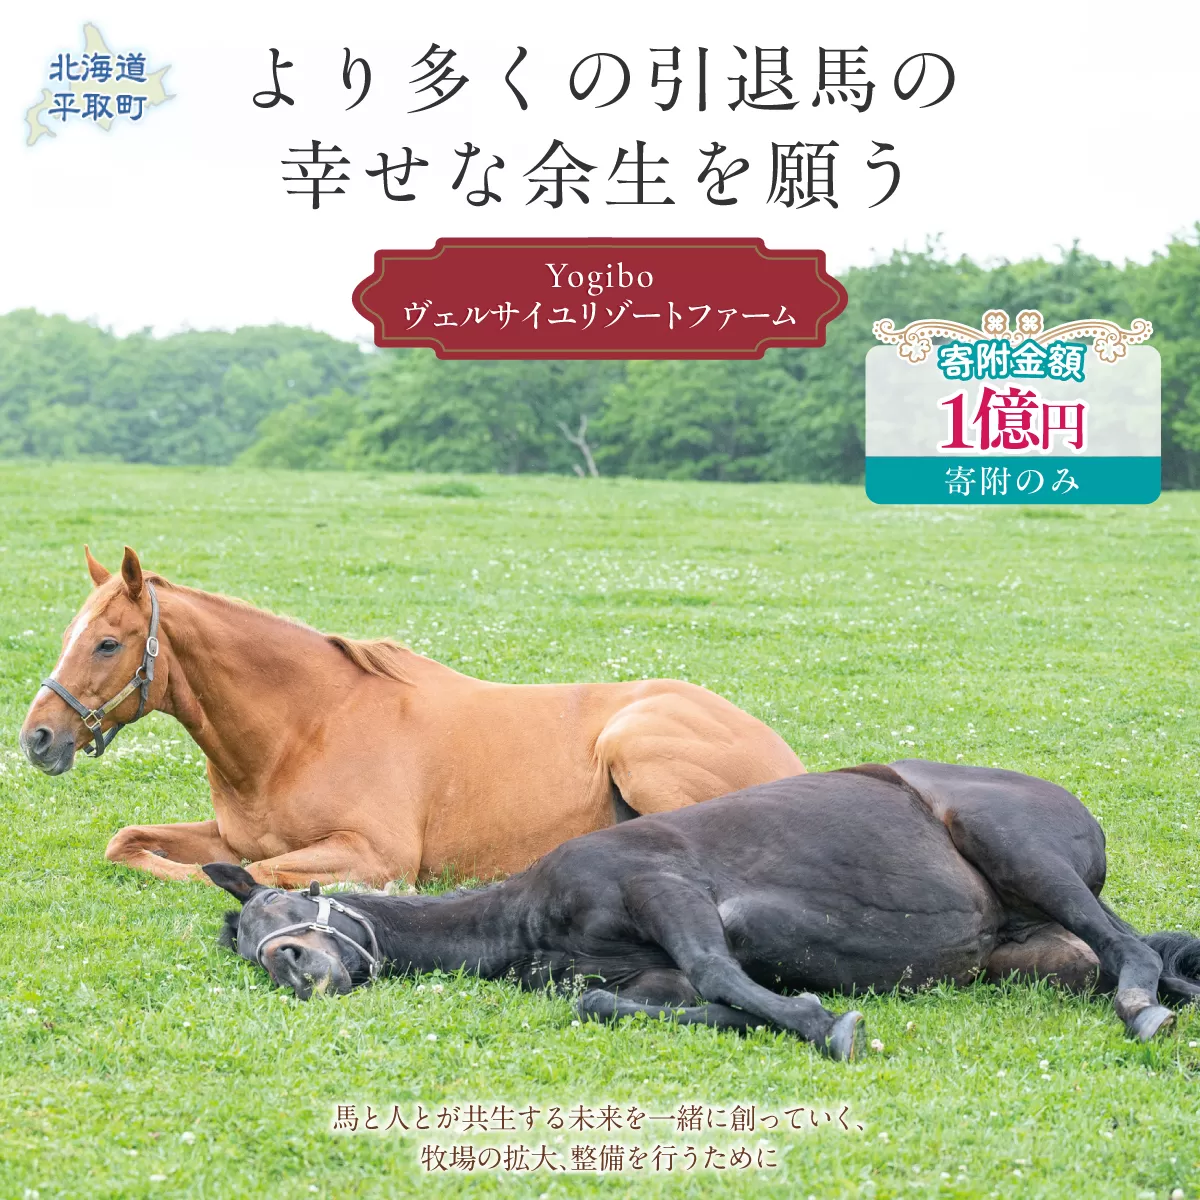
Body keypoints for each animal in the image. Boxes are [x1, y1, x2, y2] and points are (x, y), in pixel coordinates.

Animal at [19, 546, 804, 887]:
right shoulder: (229, 833)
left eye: (108, 642)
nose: (37, 737)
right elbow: (129, 843)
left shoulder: (373, 852)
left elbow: (250, 873)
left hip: (635, 745)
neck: (303, 729)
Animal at [204, 760, 1199, 1059]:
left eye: (291, 903)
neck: (527, 914)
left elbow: (722, 969)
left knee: (1131, 953)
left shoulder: (667, 889)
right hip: (1040, 956)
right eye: (250, 943)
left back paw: (1142, 1008)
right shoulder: (648, 977)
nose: (294, 963)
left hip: (1016, 847)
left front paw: (826, 1026)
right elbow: (608, 1001)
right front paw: (777, 1016)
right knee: (1135, 954)